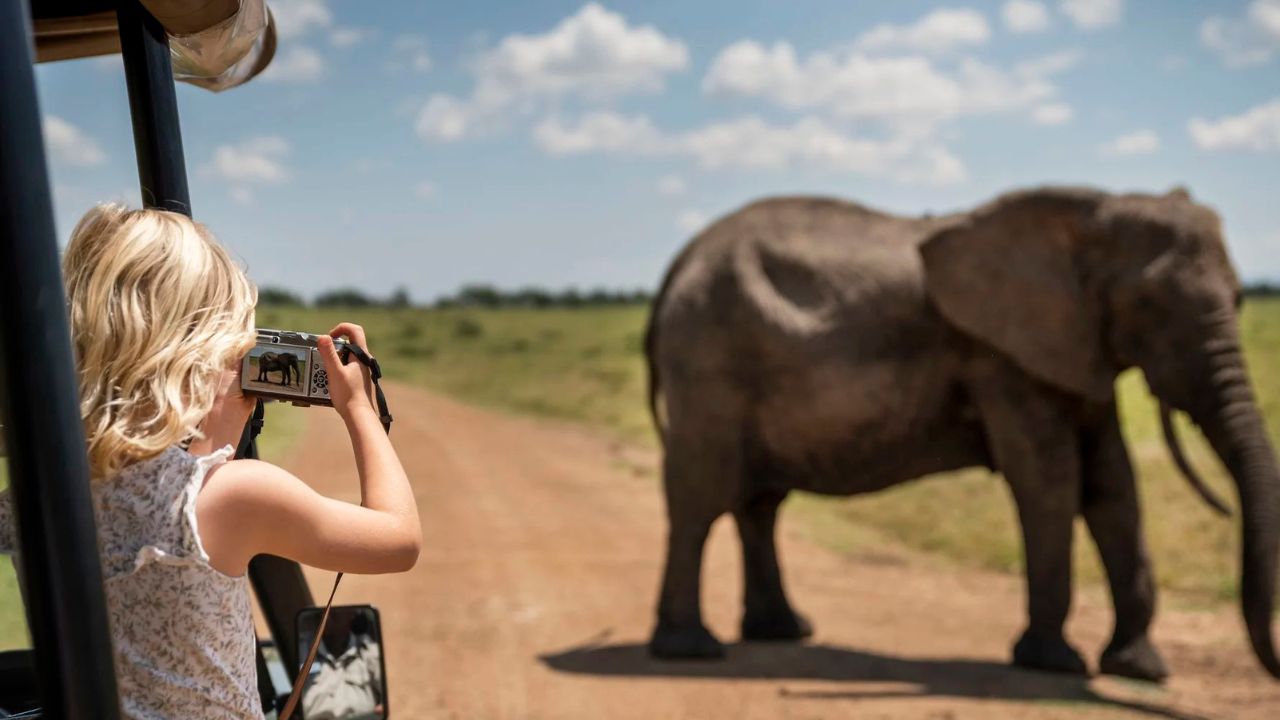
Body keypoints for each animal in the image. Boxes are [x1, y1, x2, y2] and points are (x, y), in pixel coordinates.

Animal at [644, 186, 1280, 682]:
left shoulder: (1073, 348)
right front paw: (1053, 663)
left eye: (1240, 298)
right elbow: (1051, 481)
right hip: (707, 361)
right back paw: (692, 651)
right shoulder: (1003, 358)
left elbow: (1114, 487)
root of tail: (678, 263)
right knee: (701, 498)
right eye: (1146, 304)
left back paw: (782, 631)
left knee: (759, 504)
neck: (1091, 209)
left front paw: (1140, 669)